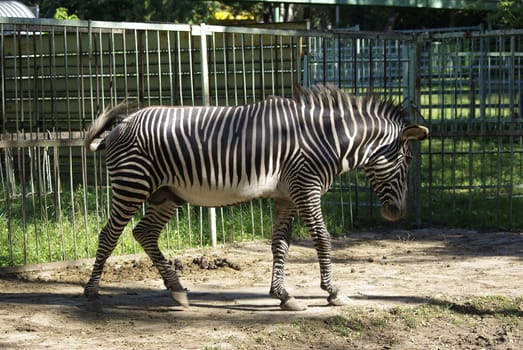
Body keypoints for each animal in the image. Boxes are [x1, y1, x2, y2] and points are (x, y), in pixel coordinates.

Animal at [84, 85, 428, 312]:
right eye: (409, 160)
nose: (397, 213)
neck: (326, 139)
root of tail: (119, 126)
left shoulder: (287, 196)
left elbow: (281, 244)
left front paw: (283, 295)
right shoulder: (306, 188)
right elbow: (322, 238)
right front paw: (333, 292)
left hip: (166, 193)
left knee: (144, 233)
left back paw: (177, 290)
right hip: (132, 184)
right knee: (108, 235)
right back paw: (91, 292)